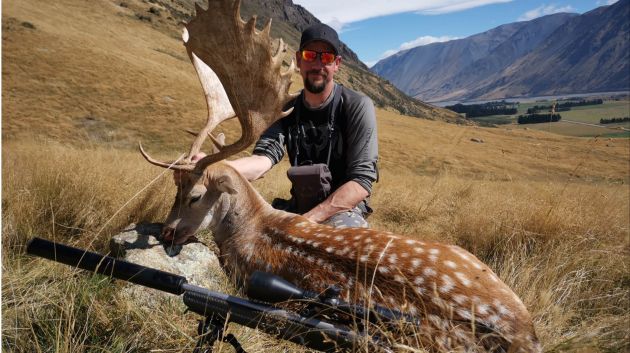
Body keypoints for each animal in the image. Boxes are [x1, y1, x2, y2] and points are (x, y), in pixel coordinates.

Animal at [141, 1, 544, 350]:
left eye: (195, 195)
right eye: (173, 187)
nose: (167, 231)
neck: (252, 224)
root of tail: (524, 333)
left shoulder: (237, 271)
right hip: (470, 259)